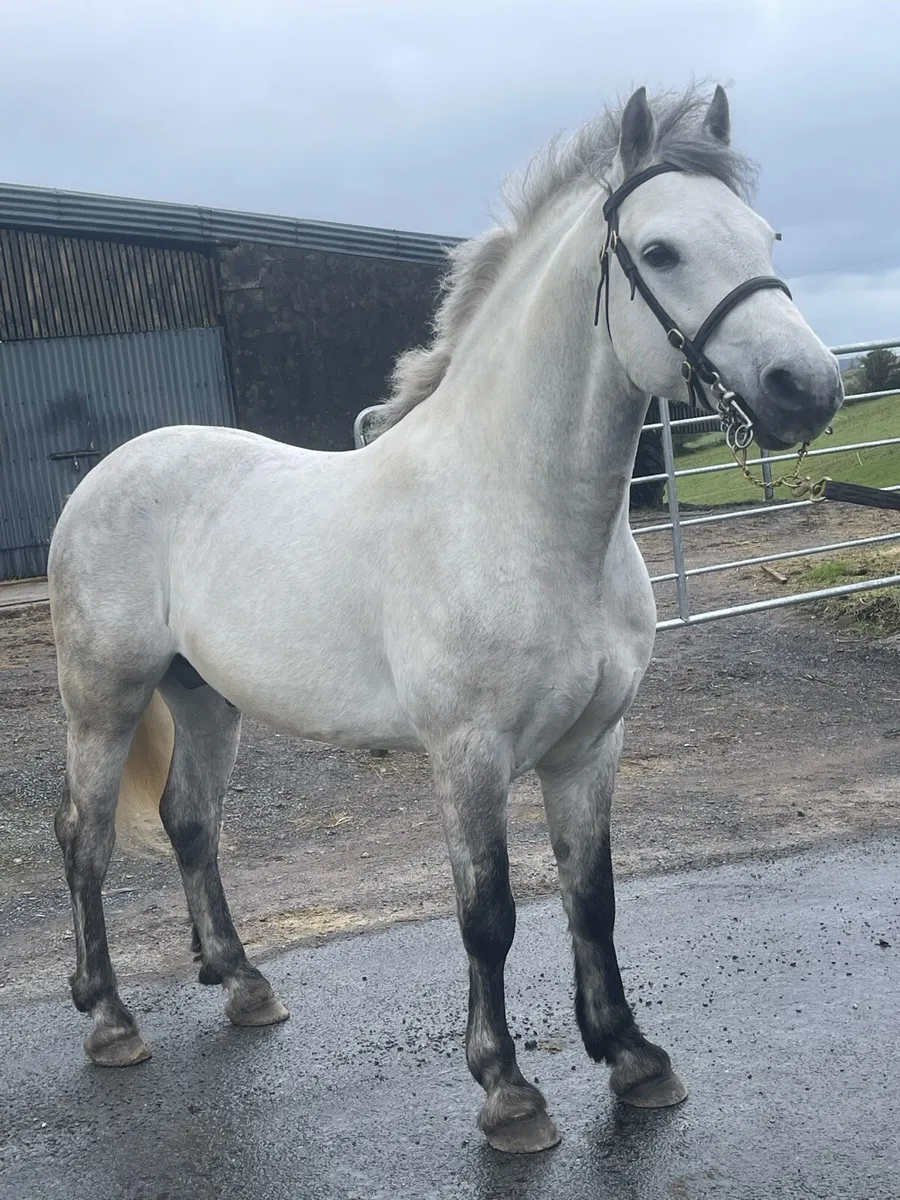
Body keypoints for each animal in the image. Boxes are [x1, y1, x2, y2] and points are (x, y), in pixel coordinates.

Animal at [47, 84, 842, 1154]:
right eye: (663, 249)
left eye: (767, 235)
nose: (809, 389)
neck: (522, 511)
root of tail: (108, 471)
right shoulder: (469, 754)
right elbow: (490, 914)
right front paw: (508, 1092)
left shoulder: (592, 745)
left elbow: (593, 896)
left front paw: (632, 1058)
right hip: (105, 698)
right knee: (85, 837)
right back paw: (110, 1018)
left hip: (207, 697)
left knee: (190, 822)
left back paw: (244, 984)